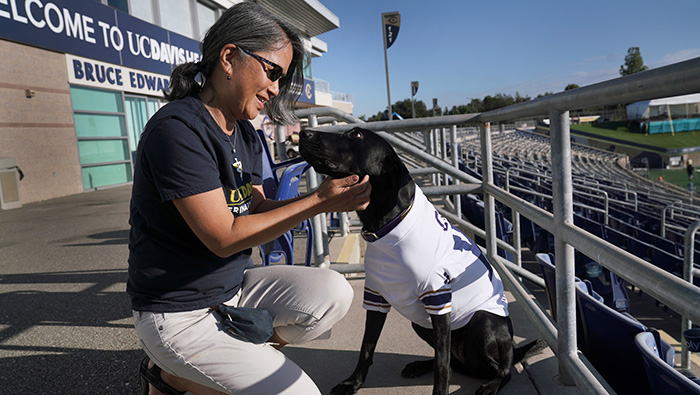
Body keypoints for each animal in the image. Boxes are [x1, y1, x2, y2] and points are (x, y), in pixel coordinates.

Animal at [298, 127, 544, 395]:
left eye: (355, 135)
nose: (303, 132)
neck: (385, 226)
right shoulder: (376, 296)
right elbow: (366, 347)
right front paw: (352, 383)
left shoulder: (437, 298)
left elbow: (442, 367)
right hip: (420, 322)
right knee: (451, 360)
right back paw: (421, 365)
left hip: (483, 321)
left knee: (500, 368)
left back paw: (492, 384)